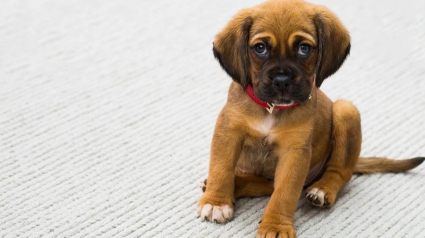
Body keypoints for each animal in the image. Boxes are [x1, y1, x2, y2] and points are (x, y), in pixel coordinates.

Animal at [197, 0, 422, 237]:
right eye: (260, 48)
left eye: (304, 48)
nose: (282, 81)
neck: (271, 109)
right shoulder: (228, 133)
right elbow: (221, 169)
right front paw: (216, 202)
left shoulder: (294, 153)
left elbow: (284, 193)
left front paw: (275, 226)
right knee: (265, 184)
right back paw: (233, 184)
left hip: (346, 110)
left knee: (339, 172)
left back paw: (322, 190)